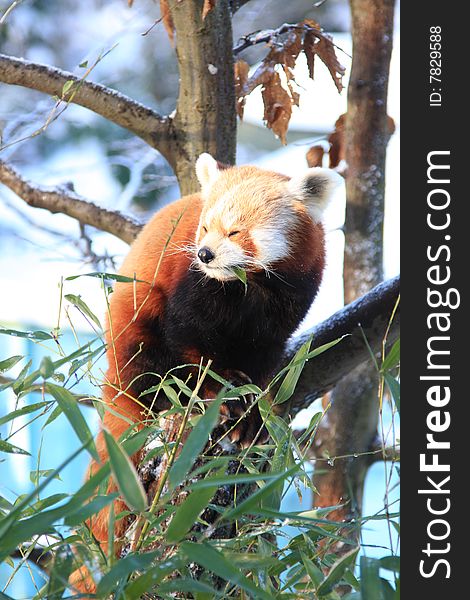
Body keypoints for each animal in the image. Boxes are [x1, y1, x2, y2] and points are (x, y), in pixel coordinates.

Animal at [70, 152, 342, 592]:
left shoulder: (288, 301)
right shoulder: (188, 285)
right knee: (147, 367)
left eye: (235, 231)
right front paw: (219, 394)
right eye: (204, 227)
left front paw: (254, 411)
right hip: (132, 326)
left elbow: (262, 361)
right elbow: (188, 342)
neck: (250, 286)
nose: (205, 254)